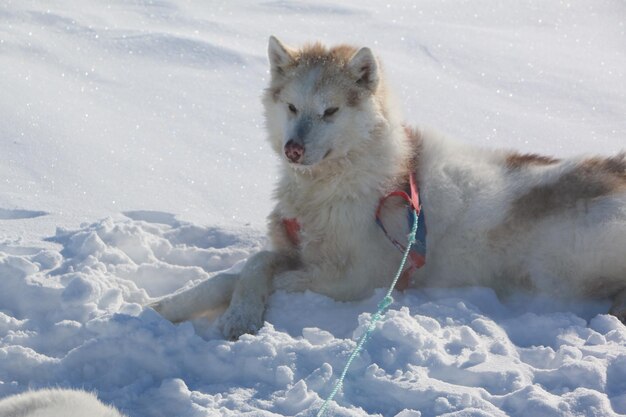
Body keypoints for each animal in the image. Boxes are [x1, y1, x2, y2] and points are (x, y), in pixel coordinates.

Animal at [152, 37, 624, 340]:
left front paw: (237, 314)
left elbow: (254, 273)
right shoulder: (296, 248)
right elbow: (245, 268)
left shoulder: (357, 277)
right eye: (291, 107)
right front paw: (171, 306)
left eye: (330, 111)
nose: (292, 149)